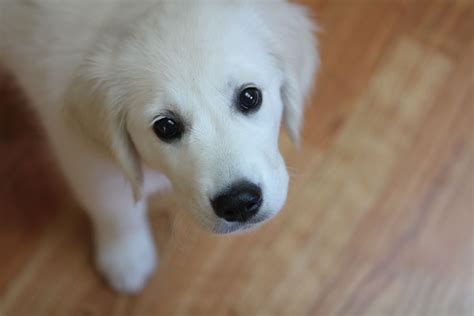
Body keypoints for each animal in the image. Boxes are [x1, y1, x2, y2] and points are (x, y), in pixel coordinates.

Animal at [0, 0, 318, 292]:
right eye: (165, 127)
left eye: (250, 97)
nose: (238, 203)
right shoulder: (81, 154)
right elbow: (114, 208)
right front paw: (126, 258)